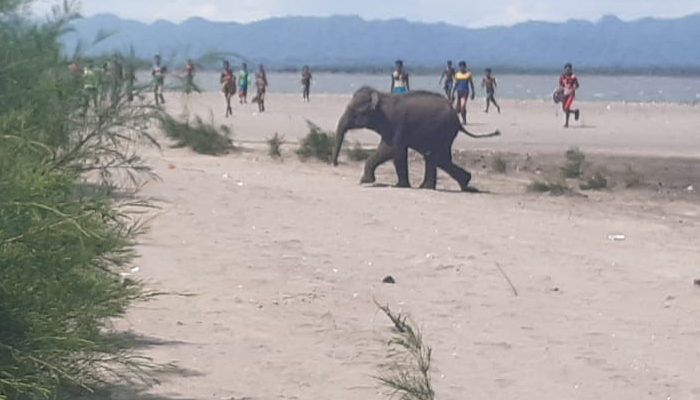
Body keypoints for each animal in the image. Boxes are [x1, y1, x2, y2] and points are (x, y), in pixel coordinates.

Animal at [332, 85, 500, 191]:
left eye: (353, 111)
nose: (335, 164)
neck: (381, 96)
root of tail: (458, 121)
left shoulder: (395, 123)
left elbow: (392, 150)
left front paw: (367, 181)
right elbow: (396, 152)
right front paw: (399, 185)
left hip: (444, 132)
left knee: (437, 157)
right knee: (436, 157)